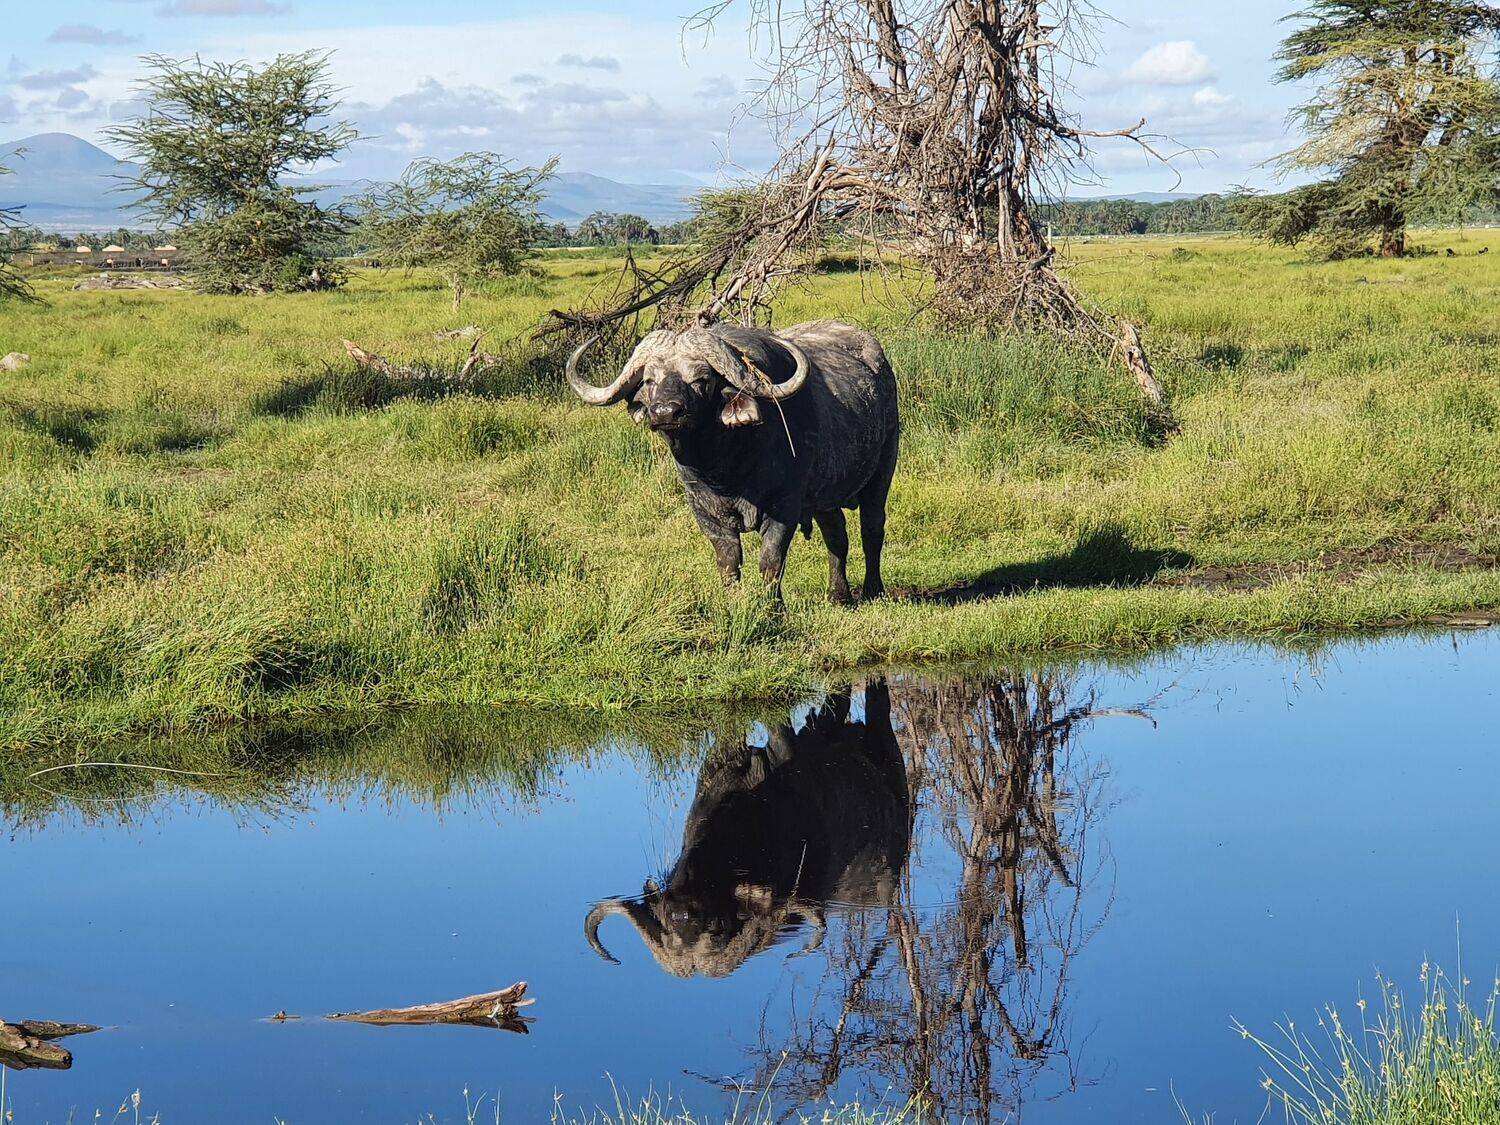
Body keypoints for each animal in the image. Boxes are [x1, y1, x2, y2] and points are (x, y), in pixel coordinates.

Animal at [565, 320, 900, 603]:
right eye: (648, 380)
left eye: (701, 379)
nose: (665, 412)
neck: (726, 469)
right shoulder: (705, 512)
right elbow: (728, 562)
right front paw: (732, 604)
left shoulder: (784, 507)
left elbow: (770, 561)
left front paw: (772, 609)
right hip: (824, 497)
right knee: (836, 534)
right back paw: (838, 595)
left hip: (883, 469)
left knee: (872, 529)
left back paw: (873, 589)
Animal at [584, 680, 910, 979]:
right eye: (665, 925)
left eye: (717, 929)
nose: (682, 914)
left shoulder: (785, 751)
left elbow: (780, 729)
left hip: (888, 749)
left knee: (875, 704)